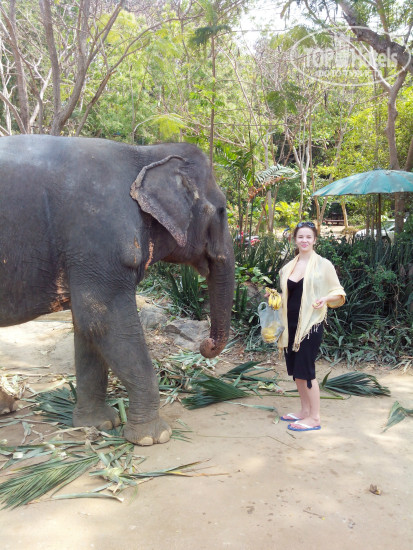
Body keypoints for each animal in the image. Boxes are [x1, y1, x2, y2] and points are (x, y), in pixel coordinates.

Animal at [0, 135, 235, 445]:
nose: (205, 345)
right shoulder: (99, 235)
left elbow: (86, 327)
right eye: (222, 210)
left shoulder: (85, 253)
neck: (145, 153)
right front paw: (153, 437)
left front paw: (99, 424)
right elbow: (102, 320)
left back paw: (8, 406)